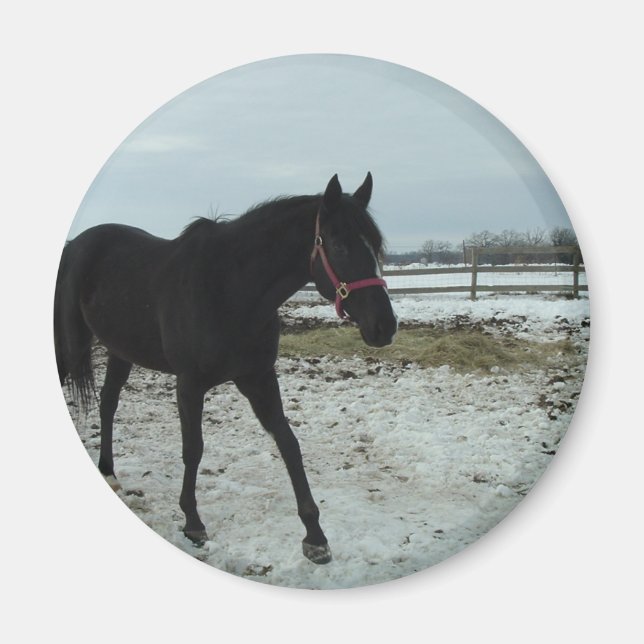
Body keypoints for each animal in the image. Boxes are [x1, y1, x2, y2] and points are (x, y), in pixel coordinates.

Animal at [54, 173, 397, 564]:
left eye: (376, 245)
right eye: (339, 246)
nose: (384, 327)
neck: (230, 290)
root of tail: (75, 245)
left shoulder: (259, 378)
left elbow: (288, 443)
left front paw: (314, 535)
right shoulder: (189, 385)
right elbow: (194, 448)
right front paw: (192, 522)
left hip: (120, 350)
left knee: (109, 402)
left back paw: (109, 472)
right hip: (71, 344)